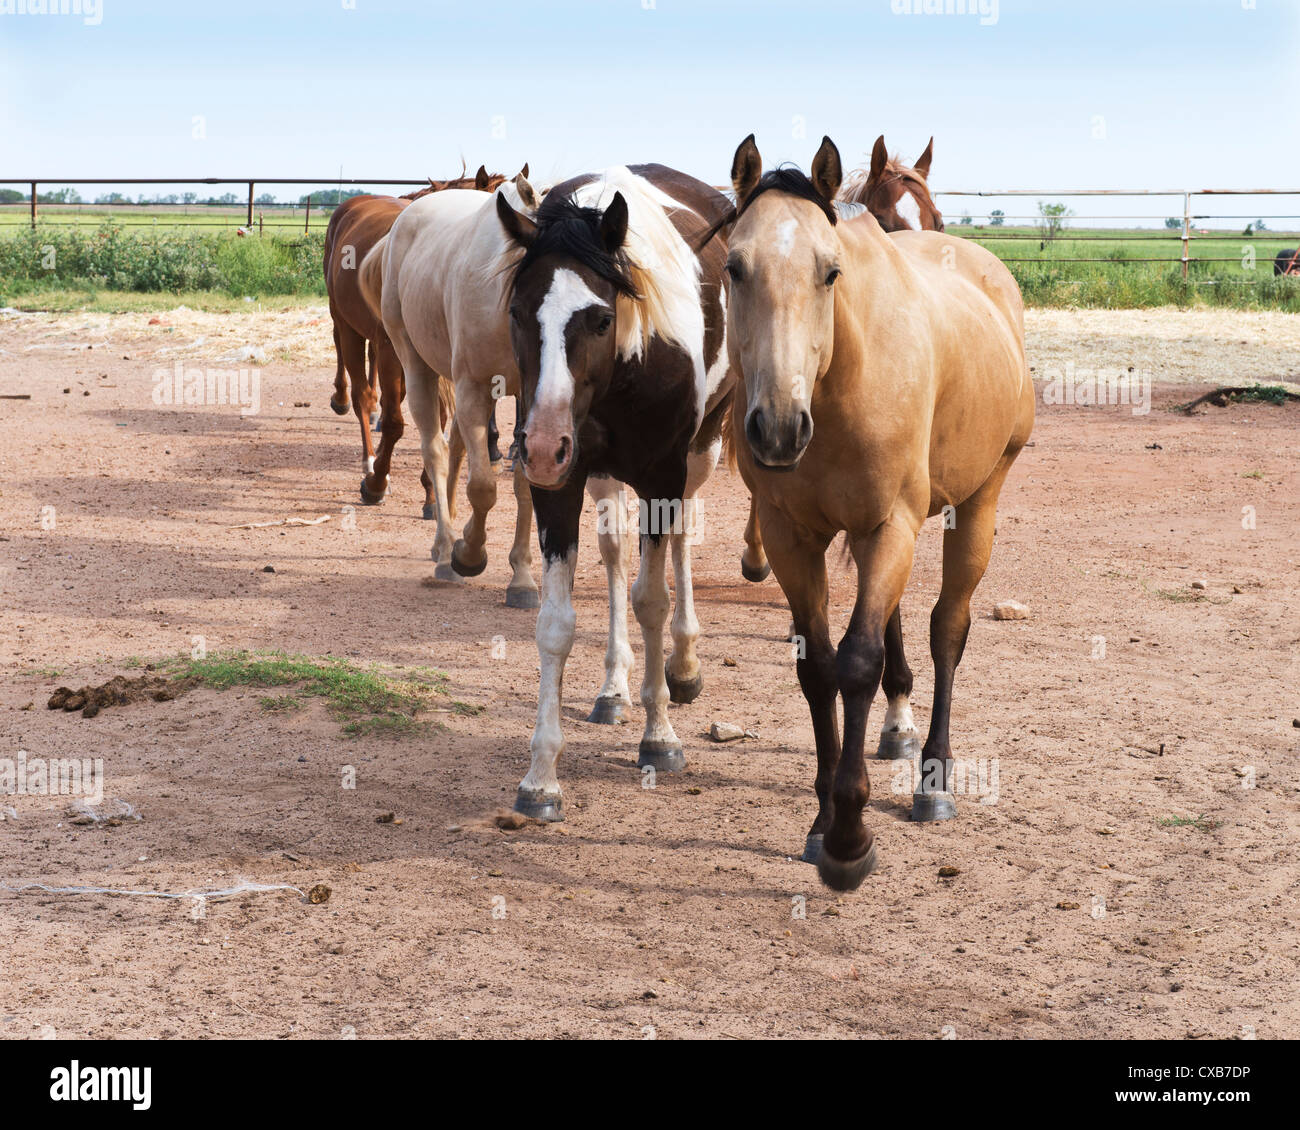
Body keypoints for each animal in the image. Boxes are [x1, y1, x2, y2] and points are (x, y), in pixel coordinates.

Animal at [323, 165, 507, 514]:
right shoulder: (394, 352)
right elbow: (395, 421)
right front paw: (376, 483)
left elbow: (437, 420)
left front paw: (432, 492)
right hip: (345, 320)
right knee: (358, 386)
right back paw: (366, 451)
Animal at [359, 172, 545, 610]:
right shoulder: (473, 386)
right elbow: (483, 487)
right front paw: (469, 554)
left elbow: (523, 485)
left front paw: (522, 577)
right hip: (415, 365)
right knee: (437, 450)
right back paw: (445, 551)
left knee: (457, 445)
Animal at [494, 164, 736, 821]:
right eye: (519, 313)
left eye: (601, 319)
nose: (542, 445)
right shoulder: (562, 486)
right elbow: (557, 624)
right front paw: (541, 776)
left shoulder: (662, 477)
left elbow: (651, 599)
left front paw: (660, 735)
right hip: (600, 477)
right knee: (614, 555)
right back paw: (613, 688)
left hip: (699, 455)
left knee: (677, 545)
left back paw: (683, 666)